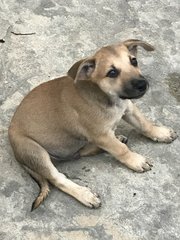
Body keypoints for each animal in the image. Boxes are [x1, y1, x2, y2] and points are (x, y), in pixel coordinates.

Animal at [8, 39, 177, 210]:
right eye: (112, 72)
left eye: (134, 61)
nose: (142, 84)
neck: (107, 98)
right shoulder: (100, 135)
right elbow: (121, 150)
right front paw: (136, 160)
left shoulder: (128, 108)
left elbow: (144, 124)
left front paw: (160, 133)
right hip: (35, 151)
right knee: (58, 179)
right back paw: (85, 195)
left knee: (82, 152)